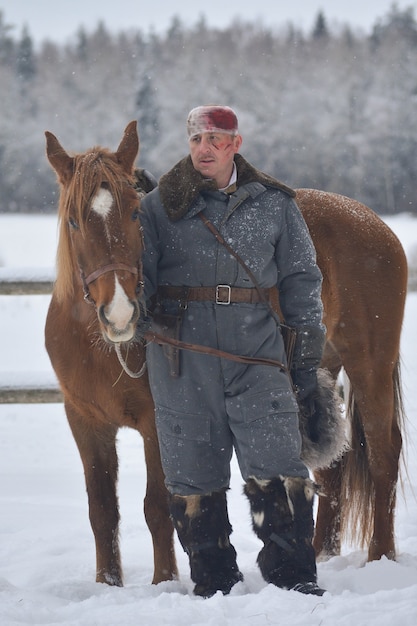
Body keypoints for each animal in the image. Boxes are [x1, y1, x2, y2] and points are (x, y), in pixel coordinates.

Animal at [44, 120, 177, 584]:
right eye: (73, 221)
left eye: (136, 212)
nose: (120, 314)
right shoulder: (85, 421)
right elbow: (101, 510)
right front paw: (108, 584)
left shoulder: (159, 423)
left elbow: (159, 508)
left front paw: (166, 582)